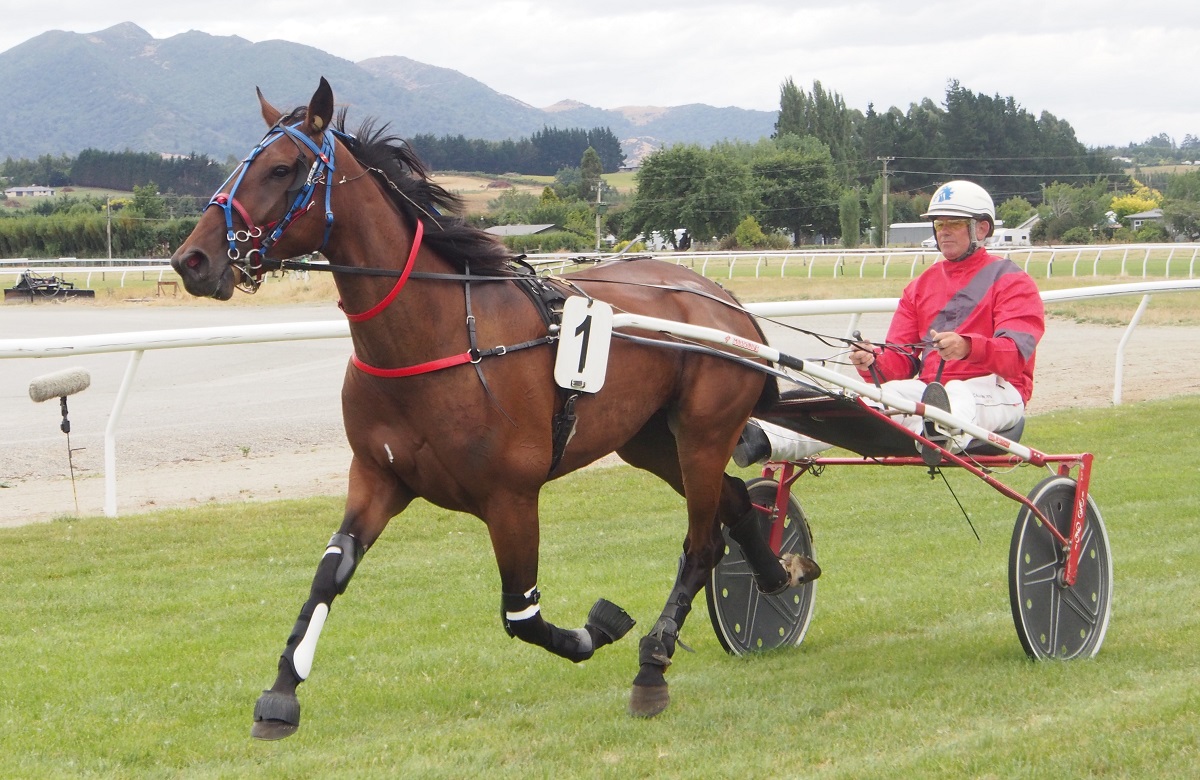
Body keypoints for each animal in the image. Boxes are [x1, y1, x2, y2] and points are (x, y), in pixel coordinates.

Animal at [170, 77, 818, 740]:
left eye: (280, 168)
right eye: (238, 164)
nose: (192, 259)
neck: (437, 337)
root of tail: (726, 301)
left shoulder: (511, 496)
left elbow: (522, 615)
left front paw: (599, 628)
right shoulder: (378, 475)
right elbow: (331, 571)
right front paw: (280, 694)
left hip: (703, 433)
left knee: (701, 542)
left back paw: (653, 665)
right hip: (651, 441)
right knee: (733, 502)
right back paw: (777, 574)